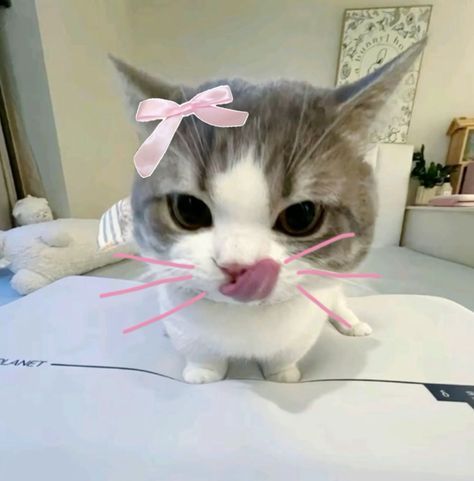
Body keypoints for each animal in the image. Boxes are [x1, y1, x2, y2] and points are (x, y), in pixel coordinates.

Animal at [112, 42, 426, 386]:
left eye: (301, 215)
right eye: (188, 209)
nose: (238, 266)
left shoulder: (304, 325)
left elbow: (286, 355)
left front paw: (283, 375)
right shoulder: (182, 316)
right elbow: (199, 349)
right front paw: (203, 373)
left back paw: (350, 321)